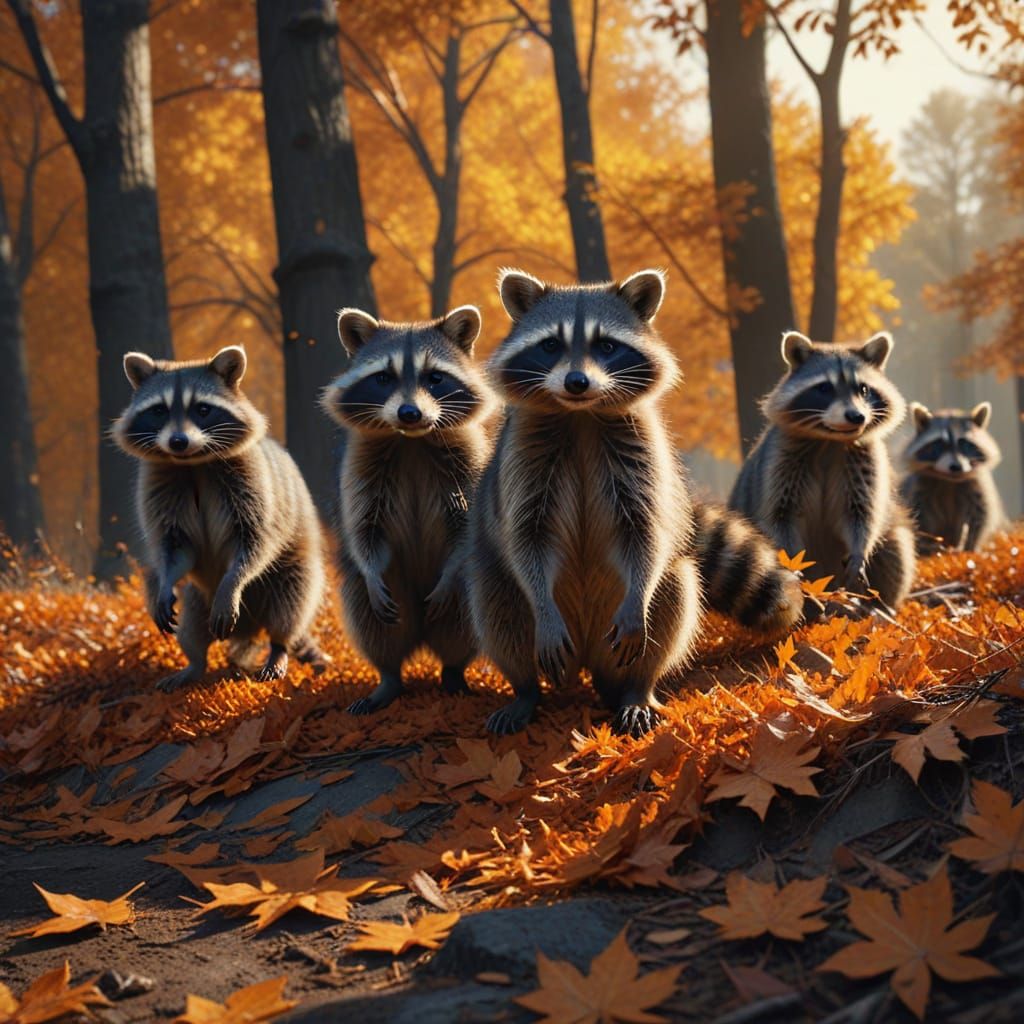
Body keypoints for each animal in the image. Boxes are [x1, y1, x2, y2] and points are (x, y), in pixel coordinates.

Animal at [113, 346, 326, 690]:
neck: (192, 463)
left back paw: (278, 647)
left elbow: (254, 542)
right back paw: (194, 663)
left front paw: (233, 581)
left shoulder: (252, 481)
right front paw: (167, 581)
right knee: (189, 623)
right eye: (159, 411)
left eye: (202, 409)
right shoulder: (162, 486)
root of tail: (249, 628)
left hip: (290, 573)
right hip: (197, 596)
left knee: (291, 602)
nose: (178, 441)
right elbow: (174, 547)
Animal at [321, 306, 495, 714]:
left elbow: (466, 532)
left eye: (435, 378)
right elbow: (363, 529)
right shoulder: (361, 469)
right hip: (386, 595)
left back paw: (454, 673)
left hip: (456, 608)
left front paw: (452, 568)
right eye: (384, 378)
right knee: (375, 626)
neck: (413, 441)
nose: (409, 413)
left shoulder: (468, 463)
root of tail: (422, 637)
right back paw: (388, 678)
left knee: (463, 625)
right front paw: (370, 568)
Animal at [467, 268, 803, 738]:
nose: (577, 383)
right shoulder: (521, 462)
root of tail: (587, 662)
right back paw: (525, 690)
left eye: (606, 346)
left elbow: (644, 535)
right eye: (550, 345)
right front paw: (542, 612)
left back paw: (638, 689)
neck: (581, 415)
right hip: (506, 592)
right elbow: (526, 538)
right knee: (497, 604)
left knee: (673, 597)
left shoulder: (640, 456)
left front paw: (640, 596)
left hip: (636, 619)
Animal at [730, 331, 916, 609]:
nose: (857, 416)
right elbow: (780, 517)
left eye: (863, 389)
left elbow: (861, 513)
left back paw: (878, 607)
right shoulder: (779, 461)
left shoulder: (864, 460)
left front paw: (859, 549)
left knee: (896, 548)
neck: (830, 440)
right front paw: (792, 563)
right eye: (825, 388)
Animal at [900, 402, 1005, 553]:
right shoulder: (919, 488)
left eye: (964, 443)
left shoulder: (977, 485)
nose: (956, 467)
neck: (950, 479)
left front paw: (971, 546)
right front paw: (928, 544)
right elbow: (919, 516)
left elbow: (980, 514)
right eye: (940, 444)